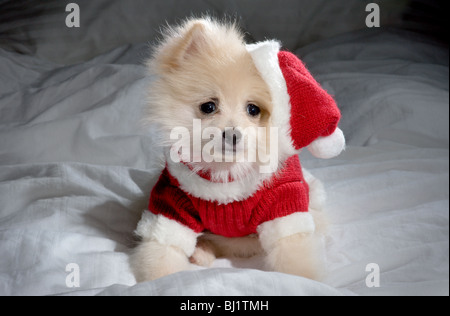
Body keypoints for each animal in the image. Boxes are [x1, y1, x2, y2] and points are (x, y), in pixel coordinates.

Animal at [128, 17, 342, 282]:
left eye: (253, 109)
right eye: (208, 107)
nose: (232, 134)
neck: (226, 173)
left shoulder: (284, 201)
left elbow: (294, 248)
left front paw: (303, 280)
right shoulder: (172, 202)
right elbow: (163, 247)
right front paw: (162, 278)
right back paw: (201, 251)